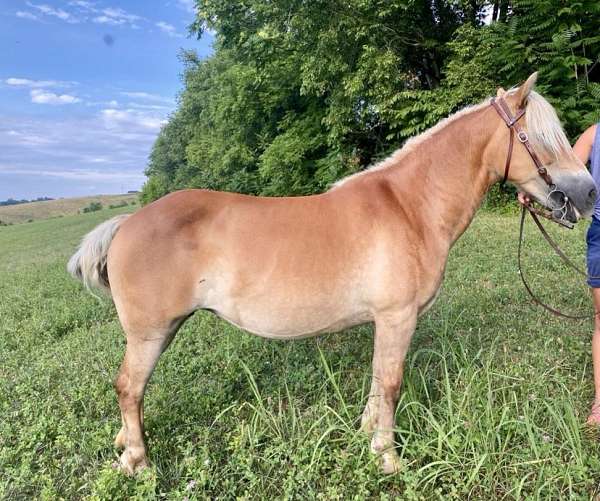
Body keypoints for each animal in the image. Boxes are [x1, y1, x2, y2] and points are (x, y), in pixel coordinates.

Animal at [69, 73, 596, 472]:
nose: (588, 193)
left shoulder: (386, 321)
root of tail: (127, 223)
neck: (410, 206)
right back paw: (138, 462)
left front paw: (366, 434)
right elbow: (391, 382)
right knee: (129, 387)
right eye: (542, 139)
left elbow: (378, 381)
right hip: (151, 332)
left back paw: (125, 444)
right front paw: (388, 457)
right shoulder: (398, 316)